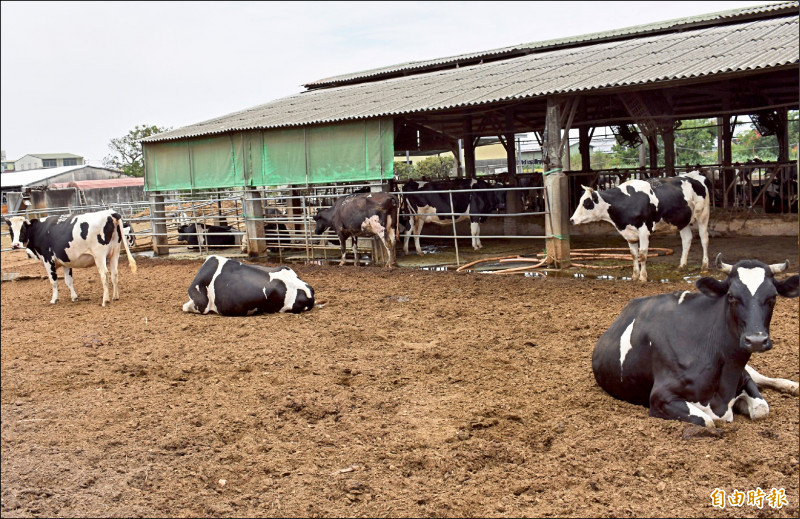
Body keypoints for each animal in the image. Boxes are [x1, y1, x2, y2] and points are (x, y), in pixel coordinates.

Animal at [3, 209, 138, 306]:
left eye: (23, 229)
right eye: (10, 230)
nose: (15, 245)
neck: (39, 230)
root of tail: (110, 213)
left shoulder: (48, 260)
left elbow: (53, 281)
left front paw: (54, 299)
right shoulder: (65, 261)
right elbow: (69, 281)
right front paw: (74, 297)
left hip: (99, 255)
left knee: (104, 274)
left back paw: (105, 300)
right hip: (114, 253)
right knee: (115, 273)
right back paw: (115, 297)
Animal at [568, 171, 712, 282]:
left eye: (586, 203)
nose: (571, 220)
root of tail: (695, 174)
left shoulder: (644, 231)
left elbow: (642, 255)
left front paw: (643, 277)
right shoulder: (629, 234)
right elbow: (634, 255)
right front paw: (634, 276)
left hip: (703, 215)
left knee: (704, 239)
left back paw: (705, 267)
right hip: (682, 221)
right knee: (687, 239)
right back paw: (681, 266)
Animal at [592, 258, 796, 428]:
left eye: (773, 297)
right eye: (731, 296)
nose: (756, 340)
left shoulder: (744, 378)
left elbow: (762, 408)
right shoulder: (661, 397)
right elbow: (708, 421)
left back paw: (793, 386)